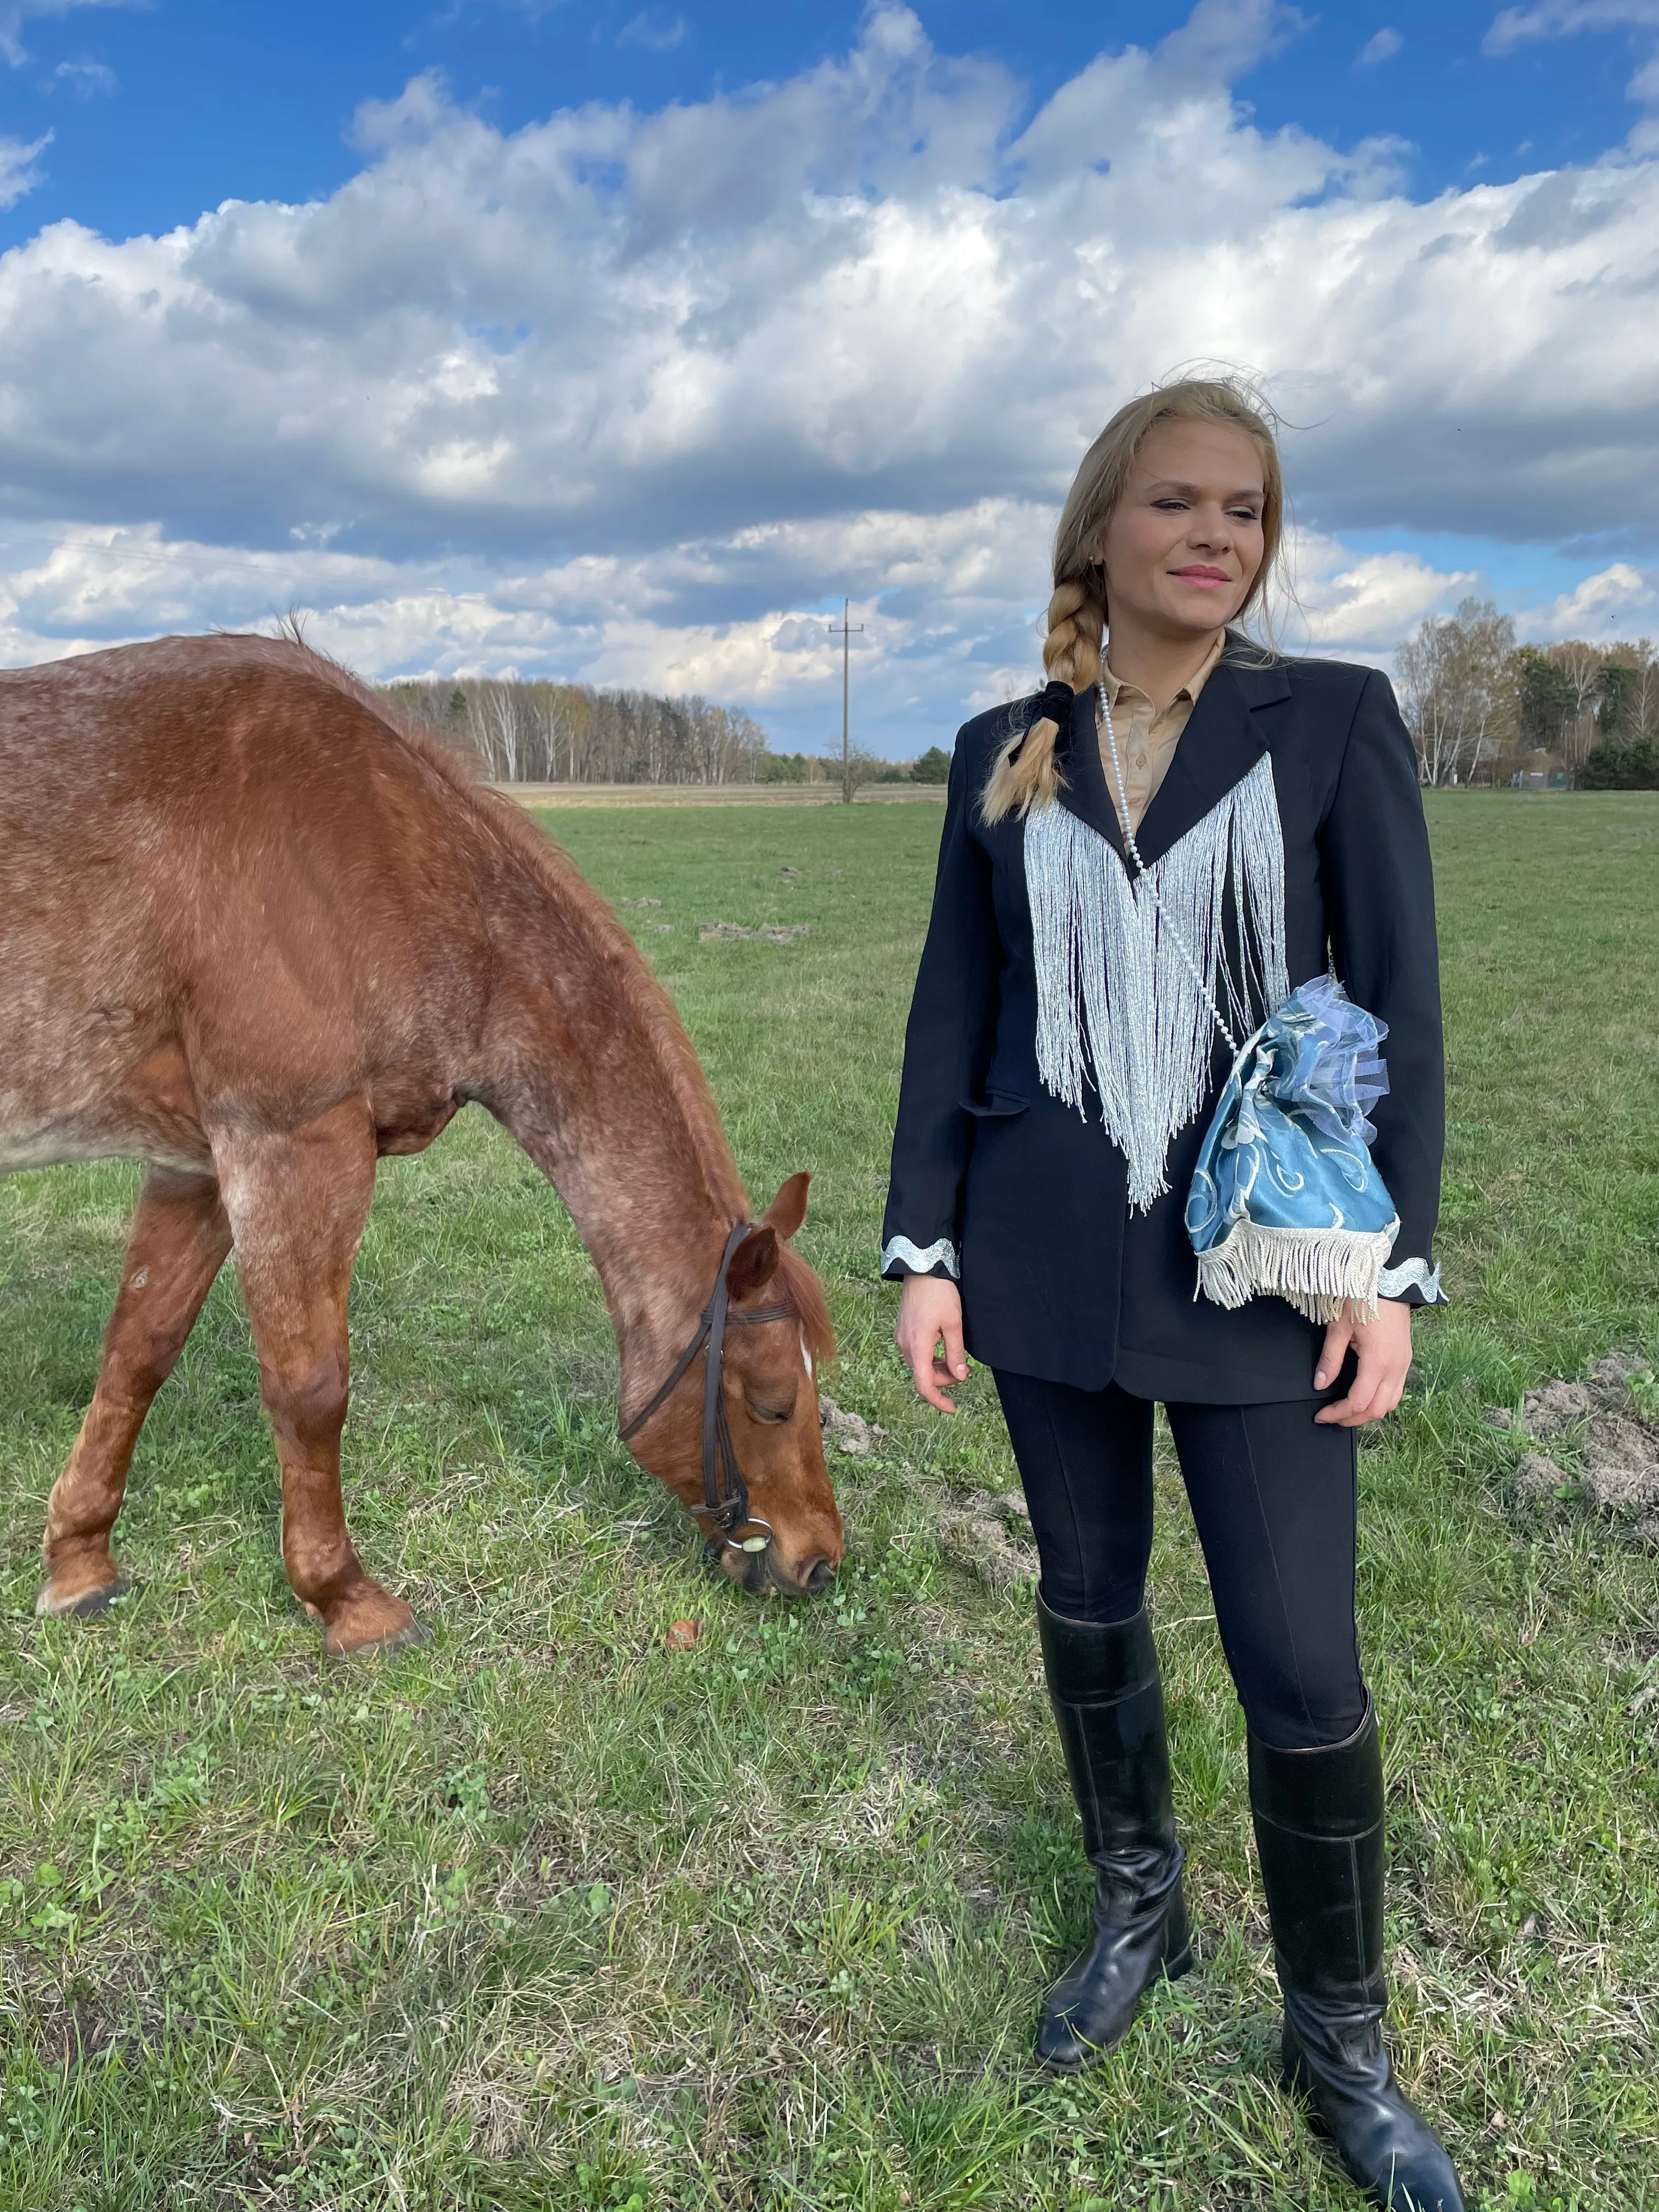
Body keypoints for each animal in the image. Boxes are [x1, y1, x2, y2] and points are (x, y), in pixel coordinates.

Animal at [3, 633, 845, 1654]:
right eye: (771, 1400)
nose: (818, 1560)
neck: (387, 856)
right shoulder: (292, 1145)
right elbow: (311, 1388)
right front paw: (346, 1599)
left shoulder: (194, 1163)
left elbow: (139, 1349)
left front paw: (79, 1561)